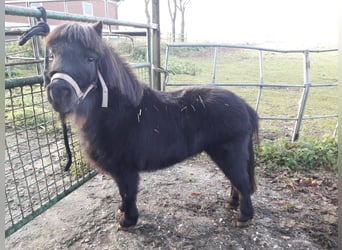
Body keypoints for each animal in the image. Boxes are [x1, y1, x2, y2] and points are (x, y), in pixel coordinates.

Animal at [45, 21, 260, 229]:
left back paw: (244, 217)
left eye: (90, 58)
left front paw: (128, 221)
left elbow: (128, 193)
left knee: (241, 181)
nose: (58, 94)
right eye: (53, 54)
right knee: (236, 182)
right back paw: (232, 204)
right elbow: (123, 193)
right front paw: (122, 211)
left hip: (229, 154)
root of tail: (244, 105)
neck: (119, 112)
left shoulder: (126, 170)